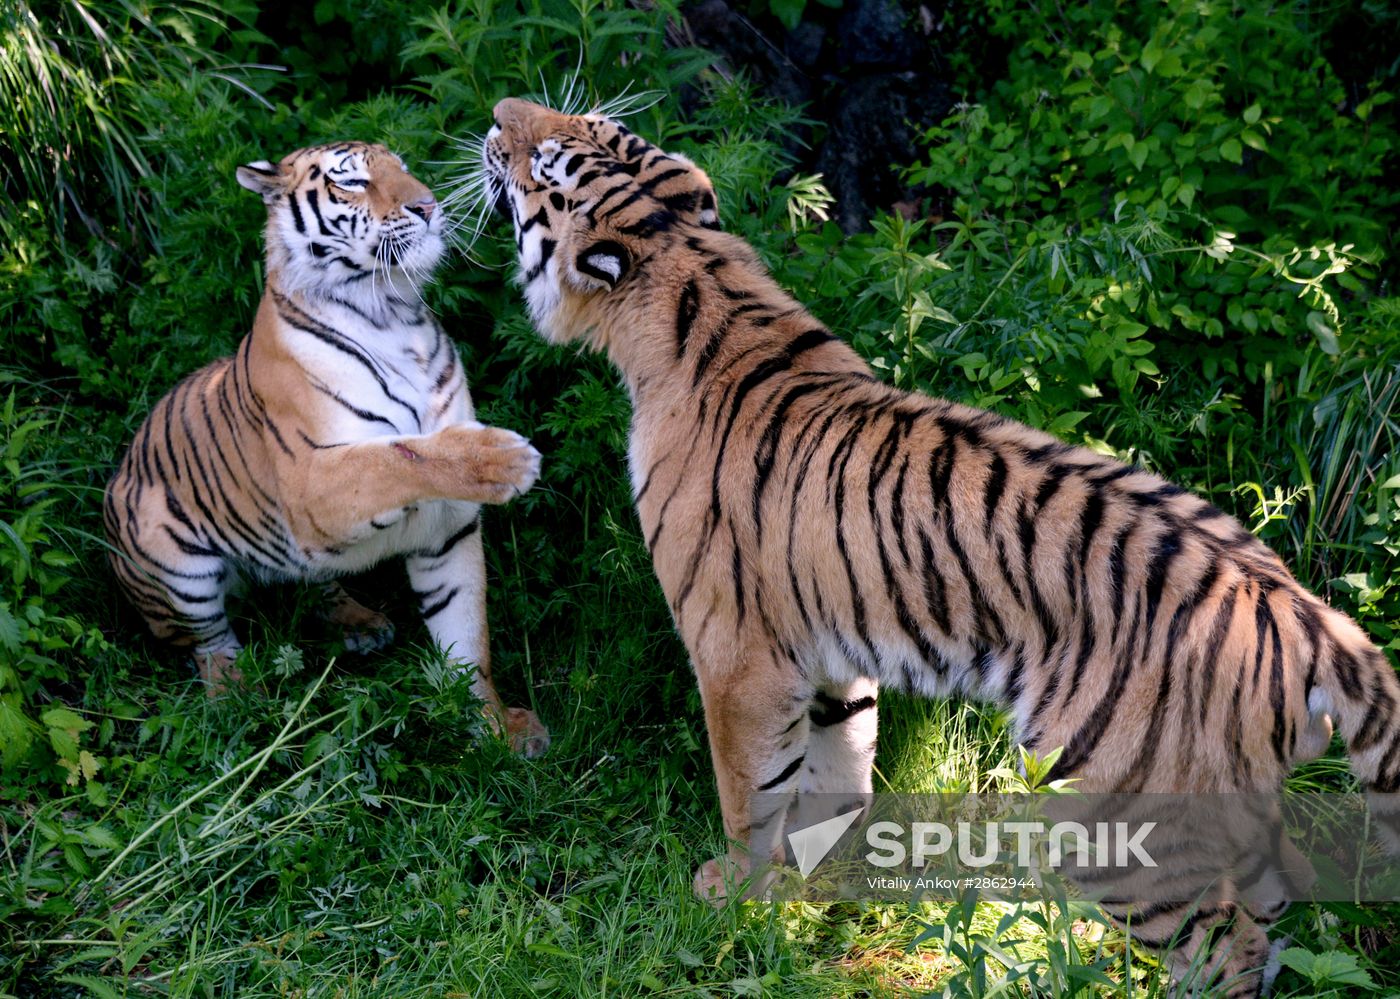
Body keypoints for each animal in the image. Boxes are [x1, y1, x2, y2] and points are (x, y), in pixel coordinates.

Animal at [104, 141, 550, 757]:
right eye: (354, 182)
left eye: (402, 168)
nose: (428, 206)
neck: (391, 311)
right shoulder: (312, 483)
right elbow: (395, 455)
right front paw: (503, 458)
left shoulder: (449, 527)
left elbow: (467, 642)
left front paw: (495, 730)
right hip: (174, 562)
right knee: (208, 645)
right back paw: (238, 700)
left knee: (310, 584)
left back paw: (360, 624)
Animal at [466, 96, 1400, 993]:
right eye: (593, 125)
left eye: (545, 158)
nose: (497, 113)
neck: (696, 272)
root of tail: (1299, 611)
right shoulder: (829, 654)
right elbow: (834, 773)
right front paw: (813, 889)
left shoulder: (735, 655)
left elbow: (748, 792)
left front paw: (731, 896)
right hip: (1229, 807)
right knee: (1276, 902)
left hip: (1119, 810)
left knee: (1226, 943)